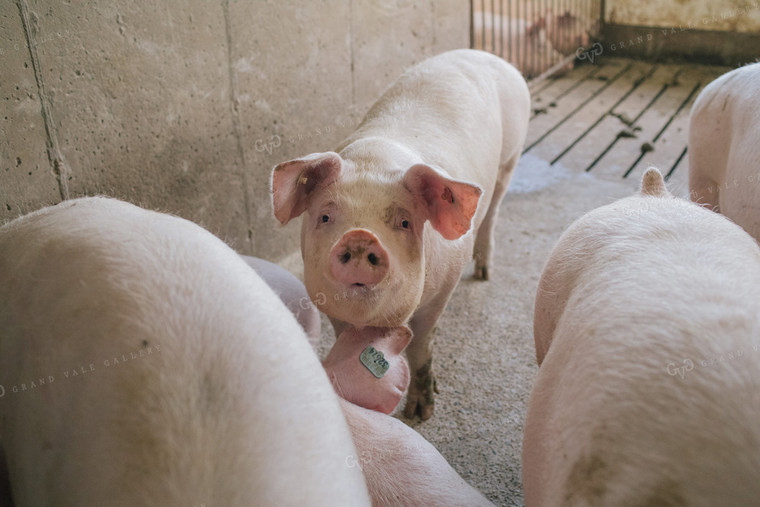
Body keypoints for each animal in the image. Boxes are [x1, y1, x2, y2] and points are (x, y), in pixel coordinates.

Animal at [272, 48, 528, 420]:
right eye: (325, 216)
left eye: (405, 223)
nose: (360, 236)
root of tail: (485, 53)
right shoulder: (323, 297)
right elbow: (343, 334)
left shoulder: (443, 287)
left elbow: (421, 343)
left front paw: (420, 414)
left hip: (511, 157)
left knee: (493, 210)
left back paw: (483, 273)